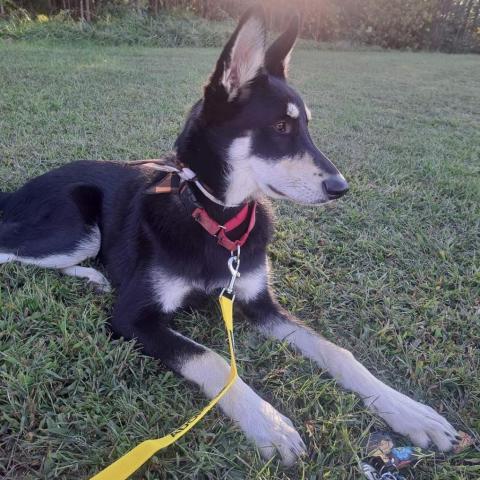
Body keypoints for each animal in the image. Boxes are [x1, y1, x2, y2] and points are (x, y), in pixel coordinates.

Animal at [0, 6, 458, 464]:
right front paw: (269, 423)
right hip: (76, 230)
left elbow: (337, 351)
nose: (341, 187)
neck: (217, 218)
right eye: (280, 126)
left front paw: (407, 410)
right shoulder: (131, 317)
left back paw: (94, 277)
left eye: (306, 127)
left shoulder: (259, 302)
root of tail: (21, 189)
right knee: (12, 250)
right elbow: (213, 359)